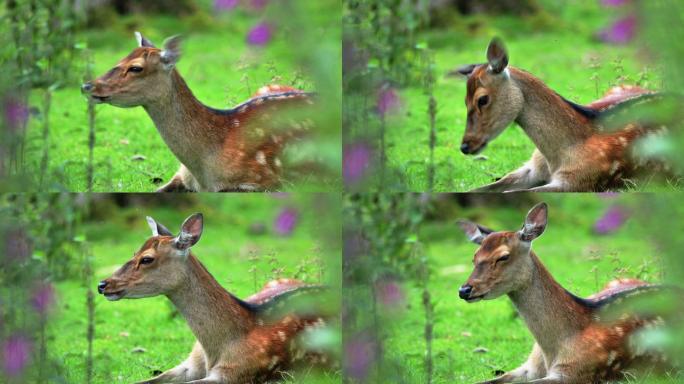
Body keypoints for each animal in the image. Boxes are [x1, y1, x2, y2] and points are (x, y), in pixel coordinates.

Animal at [454, 37, 672, 190]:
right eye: (464, 100)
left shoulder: (580, 180)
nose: (465, 146)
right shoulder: (532, 167)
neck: (555, 158)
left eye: (482, 99)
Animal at [456, 202, 676, 382]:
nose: (464, 290)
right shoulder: (528, 367)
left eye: (503, 256)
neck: (552, 350)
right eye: (474, 256)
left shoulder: (577, 372)